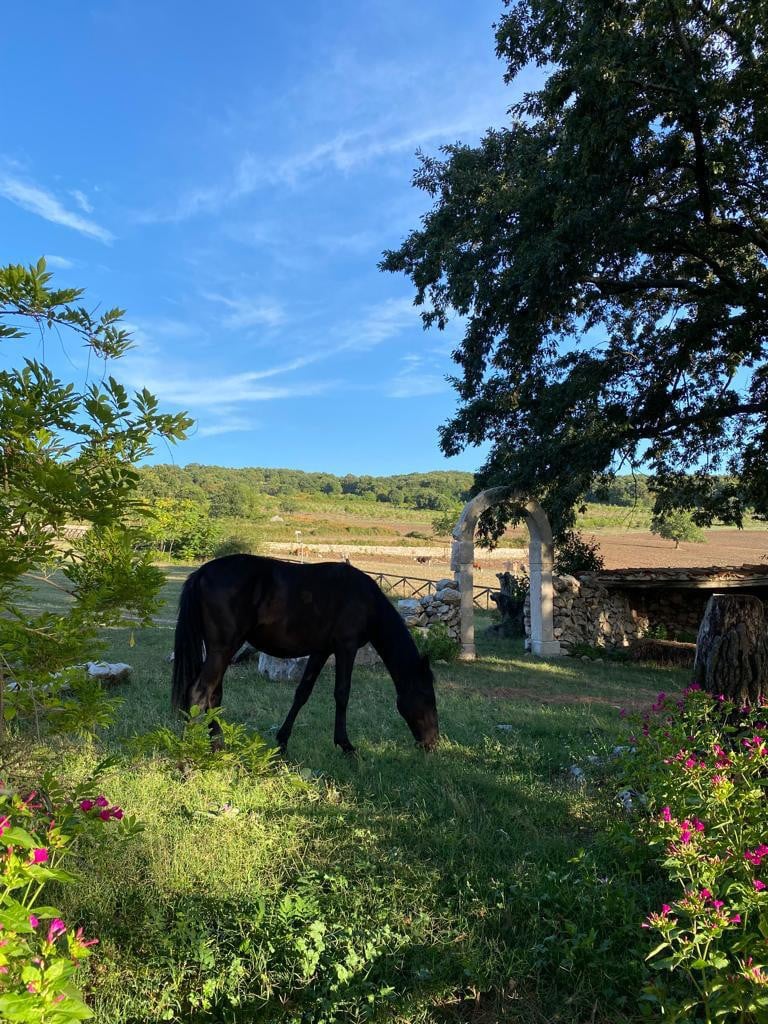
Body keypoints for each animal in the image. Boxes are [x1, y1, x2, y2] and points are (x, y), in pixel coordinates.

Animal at [172, 557, 442, 757]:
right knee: (199, 692)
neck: (365, 600)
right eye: (427, 697)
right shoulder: (346, 647)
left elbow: (303, 692)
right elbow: (342, 693)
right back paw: (190, 752)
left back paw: (218, 745)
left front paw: (282, 742)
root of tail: (201, 573)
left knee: (213, 695)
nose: (433, 743)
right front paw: (346, 745)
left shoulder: (321, 651)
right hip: (222, 648)